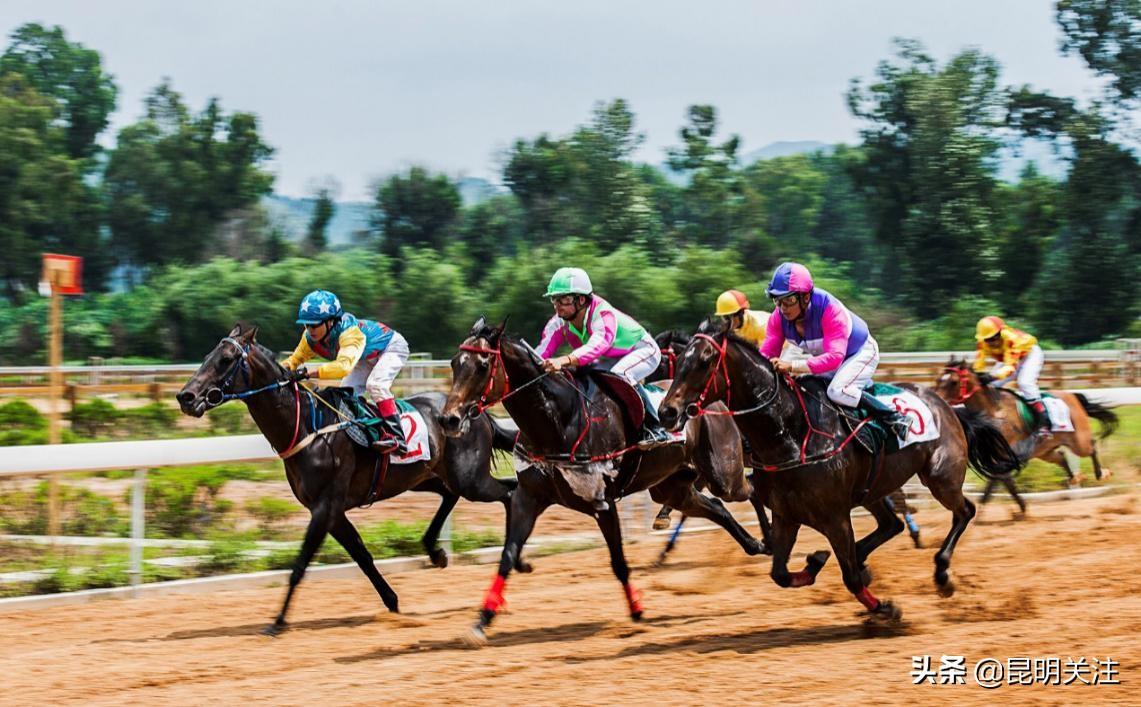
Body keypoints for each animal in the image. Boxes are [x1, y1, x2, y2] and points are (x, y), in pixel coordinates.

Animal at [175, 323, 522, 634]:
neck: (310, 427)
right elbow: (362, 557)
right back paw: (435, 551)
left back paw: (512, 557)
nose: (185, 396)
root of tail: (472, 410)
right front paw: (393, 602)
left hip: (469, 477)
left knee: (508, 493)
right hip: (426, 476)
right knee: (452, 495)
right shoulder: (334, 511)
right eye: (207, 356)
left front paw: (277, 622)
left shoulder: (325, 507)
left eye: (226, 359)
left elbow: (300, 564)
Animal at [435, 319, 766, 647]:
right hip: (672, 488)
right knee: (717, 507)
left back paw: (768, 538)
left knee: (750, 487)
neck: (557, 421)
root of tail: (714, 404)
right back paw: (755, 544)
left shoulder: (602, 503)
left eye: (482, 365)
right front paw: (481, 621)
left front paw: (637, 610)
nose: (449, 419)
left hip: (723, 472)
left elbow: (618, 560)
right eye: (454, 363)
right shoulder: (528, 498)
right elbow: (507, 555)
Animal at [657, 317, 1022, 620]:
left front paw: (885, 609)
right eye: (680, 361)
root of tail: (946, 405)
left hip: (941, 477)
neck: (790, 433)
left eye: (704, 361)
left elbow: (848, 577)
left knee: (963, 511)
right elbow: (780, 574)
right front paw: (816, 560)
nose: (667, 412)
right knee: (892, 523)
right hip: (874, 489)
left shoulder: (835, 516)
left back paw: (942, 574)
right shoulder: (787, 514)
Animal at [931, 358, 1118, 485]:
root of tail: (1073, 396)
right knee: (1062, 458)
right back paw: (1074, 478)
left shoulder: (1007, 451)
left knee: (1091, 447)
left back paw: (1101, 473)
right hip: (1044, 450)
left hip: (1079, 441)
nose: (937, 400)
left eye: (953, 381)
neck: (994, 410)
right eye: (939, 379)